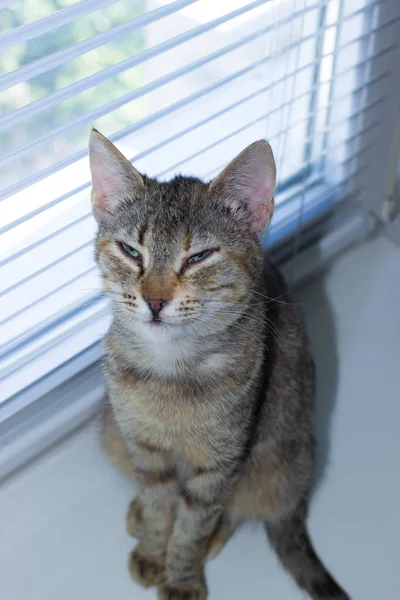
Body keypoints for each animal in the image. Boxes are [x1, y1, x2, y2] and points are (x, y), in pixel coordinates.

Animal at [89, 130, 348, 600]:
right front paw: (153, 548)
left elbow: (193, 524)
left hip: (275, 463)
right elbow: (158, 503)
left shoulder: (219, 464)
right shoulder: (143, 446)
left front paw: (181, 577)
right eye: (131, 251)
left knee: (242, 508)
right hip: (111, 431)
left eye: (199, 257)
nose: (155, 300)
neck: (170, 370)